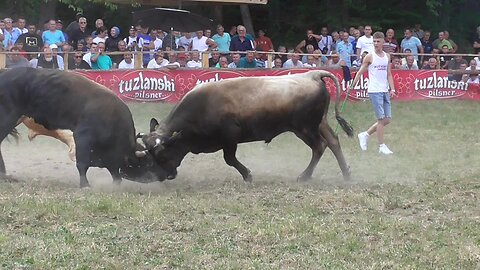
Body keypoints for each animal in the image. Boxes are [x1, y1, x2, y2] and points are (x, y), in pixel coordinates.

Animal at [0, 66, 158, 187]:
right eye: (147, 163)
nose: (156, 177)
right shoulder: (82, 138)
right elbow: (82, 164)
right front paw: (85, 185)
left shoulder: (109, 158)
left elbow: (115, 173)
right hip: (8, 118)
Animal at [137, 70, 354, 182]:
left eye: (163, 155)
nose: (165, 176)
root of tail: (312, 74)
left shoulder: (230, 136)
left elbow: (230, 159)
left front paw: (247, 175)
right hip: (320, 124)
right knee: (333, 142)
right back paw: (346, 173)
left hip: (305, 128)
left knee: (320, 146)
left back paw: (304, 176)